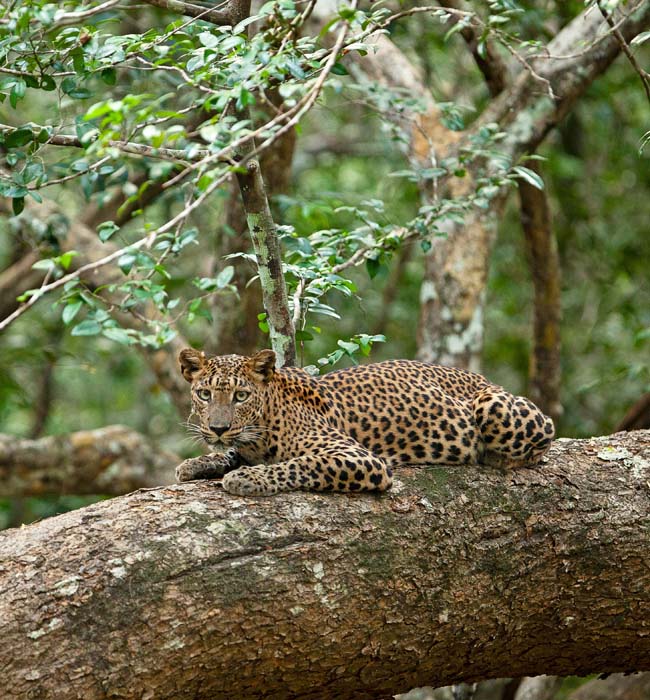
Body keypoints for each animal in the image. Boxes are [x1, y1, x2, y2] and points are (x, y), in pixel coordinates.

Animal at [175, 348, 555, 497]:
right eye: (205, 394)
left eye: (241, 396)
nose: (218, 428)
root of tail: (483, 378)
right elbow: (228, 454)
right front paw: (196, 464)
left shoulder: (359, 458)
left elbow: (300, 464)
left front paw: (247, 479)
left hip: (494, 408)